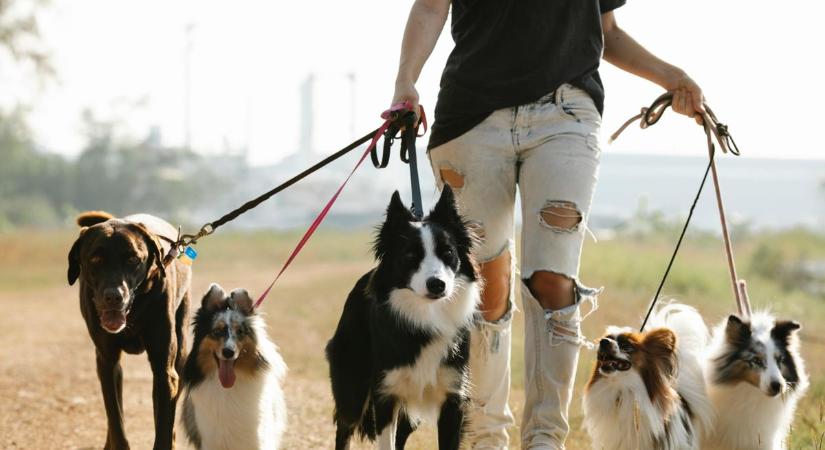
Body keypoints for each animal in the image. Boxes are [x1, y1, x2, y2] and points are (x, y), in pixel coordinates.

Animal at [68, 212, 192, 450]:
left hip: (180, 354)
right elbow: (116, 420)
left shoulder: (165, 370)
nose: (113, 296)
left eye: (133, 259)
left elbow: (164, 426)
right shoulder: (107, 362)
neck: (134, 310)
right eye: (95, 259)